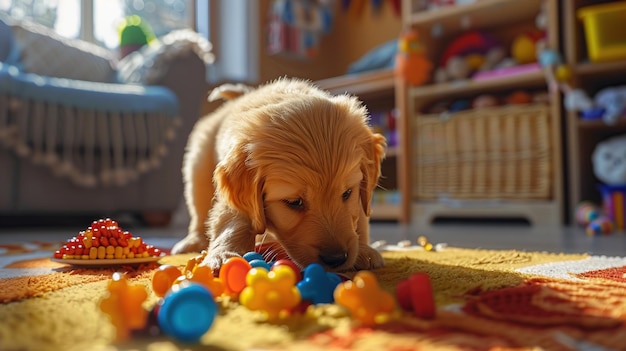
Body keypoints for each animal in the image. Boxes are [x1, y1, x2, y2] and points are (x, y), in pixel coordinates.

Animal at [172, 78, 386, 274]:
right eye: (294, 202)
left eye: (347, 193)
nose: (335, 258)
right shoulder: (238, 200)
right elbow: (231, 222)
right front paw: (225, 256)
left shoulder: (361, 194)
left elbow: (359, 217)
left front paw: (364, 249)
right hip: (198, 166)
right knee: (199, 211)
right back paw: (192, 241)